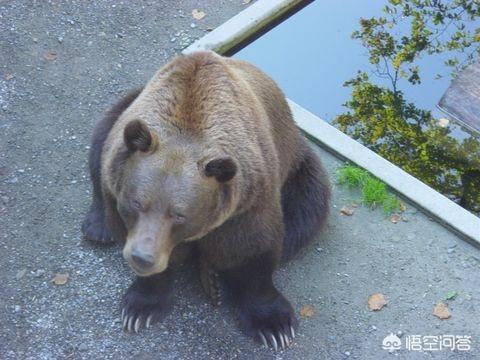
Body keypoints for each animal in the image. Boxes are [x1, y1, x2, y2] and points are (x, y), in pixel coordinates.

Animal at [82, 50, 330, 348]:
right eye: (136, 203)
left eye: (179, 214)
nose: (143, 257)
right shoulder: (118, 186)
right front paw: (141, 307)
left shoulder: (250, 203)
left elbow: (255, 250)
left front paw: (273, 325)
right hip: (121, 115)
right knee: (99, 142)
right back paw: (98, 228)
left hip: (297, 163)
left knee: (305, 214)